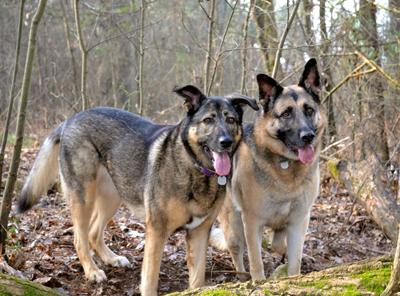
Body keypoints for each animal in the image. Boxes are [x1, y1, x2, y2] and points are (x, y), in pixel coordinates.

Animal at [17, 84, 258, 294]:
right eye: (208, 120)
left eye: (231, 120)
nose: (226, 142)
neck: (195, 167)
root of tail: (69, 120)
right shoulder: (157, 231)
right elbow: (150, 279)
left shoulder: (199, 234)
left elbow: (197, 279)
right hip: (83, 195)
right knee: (79, 238)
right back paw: (92, 271)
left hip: (113, 195)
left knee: (94, 232)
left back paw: (111, 259)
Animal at [209, 58, 324, 280]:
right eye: (286, 113)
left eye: (309, 110)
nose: (308, 136)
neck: (285, 166)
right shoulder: (252, 221)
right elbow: (256, 261)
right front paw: (258, 282)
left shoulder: (299, 219)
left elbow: (294, 259)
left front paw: (294, 274)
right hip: (235, 227)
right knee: (237, 253)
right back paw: (242, 276)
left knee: (277, 244)